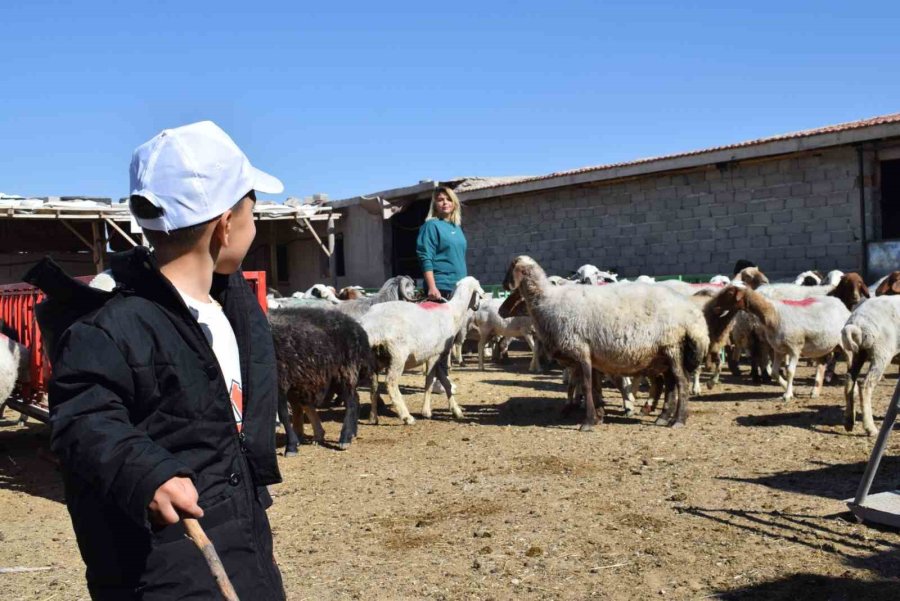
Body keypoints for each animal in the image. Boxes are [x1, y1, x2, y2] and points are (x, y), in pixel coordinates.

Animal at [358, 274, 486, 424]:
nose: (477, 307)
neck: (453, 312)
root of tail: (370, 326)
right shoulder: (433, 356)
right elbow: (428, 382)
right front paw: (426, 412)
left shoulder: (438, 356)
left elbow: (446, 382)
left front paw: (456, 411)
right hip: (397, 355)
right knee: (390, 383)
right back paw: (406, 417)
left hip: (373, 359)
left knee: (373, 386)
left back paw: (373, 417)